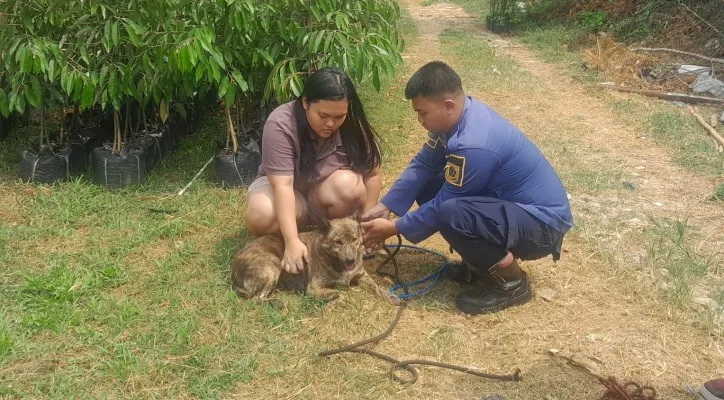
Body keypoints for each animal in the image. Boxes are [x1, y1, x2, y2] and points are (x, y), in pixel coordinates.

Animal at [235, 216, 388, 300]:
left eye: (354, 239)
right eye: (338, 242)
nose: (350, 260)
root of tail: (233, 273)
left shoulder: (362, 275)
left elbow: (375, 286)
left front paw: (388, 296)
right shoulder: (314, 288)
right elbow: (338, 293)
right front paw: (338, 298)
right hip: (272, 267)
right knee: (257, 298)